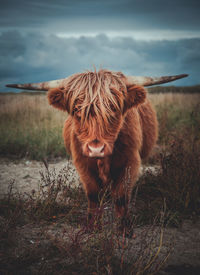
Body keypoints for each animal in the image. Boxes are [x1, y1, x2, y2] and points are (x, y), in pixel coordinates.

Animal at [6, 69, 188, 226]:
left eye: (113, 108)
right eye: (77, 110)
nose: (96, 149)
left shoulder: (130, 161)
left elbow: (121, 196)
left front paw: (124, 228)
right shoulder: (82, 162)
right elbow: (93, 194)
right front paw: (93, 225)